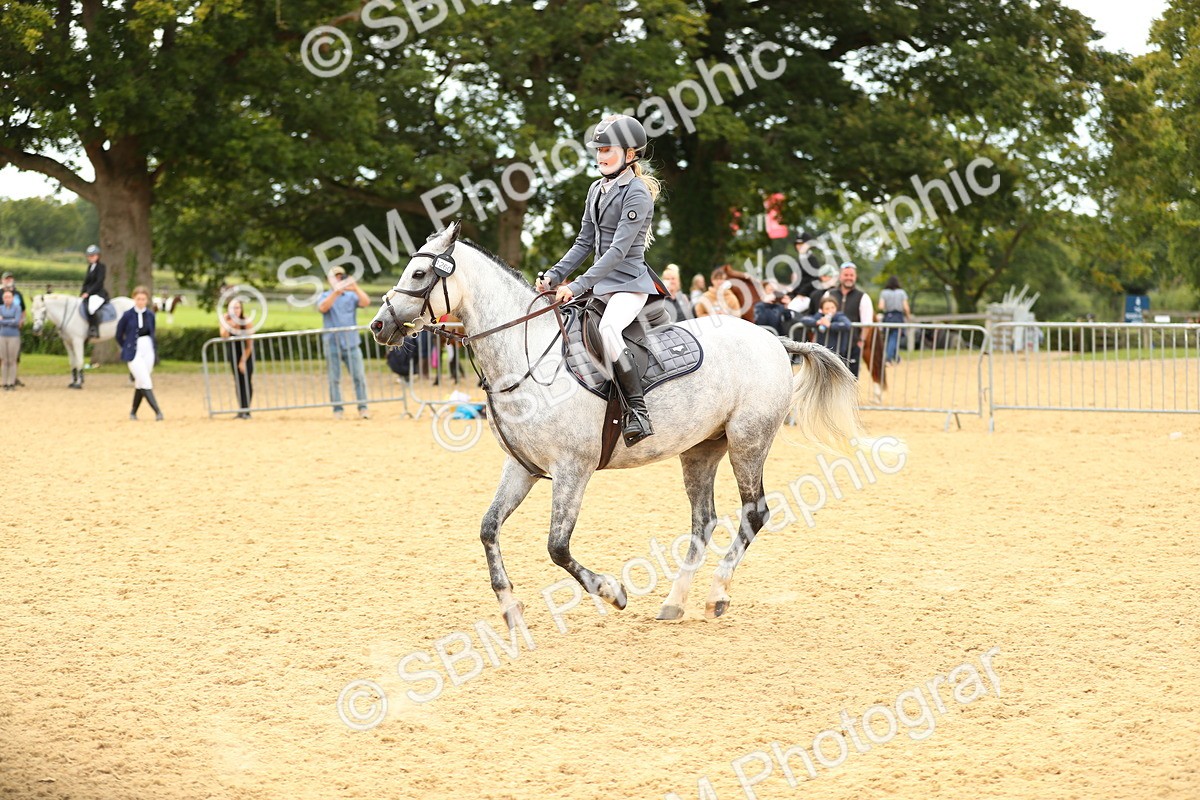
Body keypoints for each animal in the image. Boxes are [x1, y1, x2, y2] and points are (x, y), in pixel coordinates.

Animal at [369, 223, 864, 627]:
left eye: (419, 275)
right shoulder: (523, 467)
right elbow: (489, 528)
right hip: (702, 449)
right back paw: (674, 602)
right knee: (703, 522)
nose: (378, 325)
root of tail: (773, 339)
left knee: (754, 513)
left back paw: (716, 596)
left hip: (749, 441)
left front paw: (613, 592)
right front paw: (510, 609)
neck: (526, 357)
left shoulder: (572, 469)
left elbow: (557, 546)